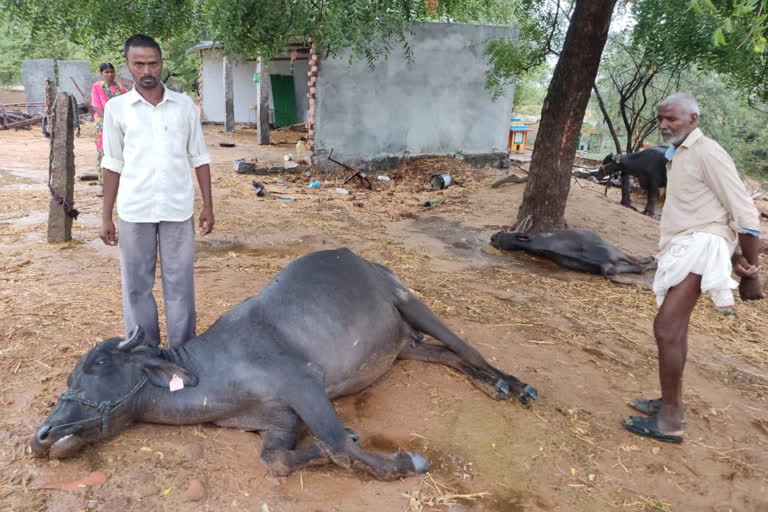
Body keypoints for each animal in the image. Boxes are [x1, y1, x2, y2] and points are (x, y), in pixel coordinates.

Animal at [28, 248, 536, 480]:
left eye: (96, 364)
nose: (42, 436)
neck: (215, 376)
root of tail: (365, 260)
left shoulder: (304, 384)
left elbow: (340, 445)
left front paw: (404, 461)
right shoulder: (278, 421)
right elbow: (278, 461)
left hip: (410, 300)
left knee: (466, 348)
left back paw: (513, 384)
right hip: (402, 345)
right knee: (444, 354)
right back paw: (492, 385)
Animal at [492, 229, 656, 278]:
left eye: (500, 234)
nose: (492, 237)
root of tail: (602, 262)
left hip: (612, 266)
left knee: (634, 268)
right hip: (615, 251)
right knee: (636, 263)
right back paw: (651, 262)